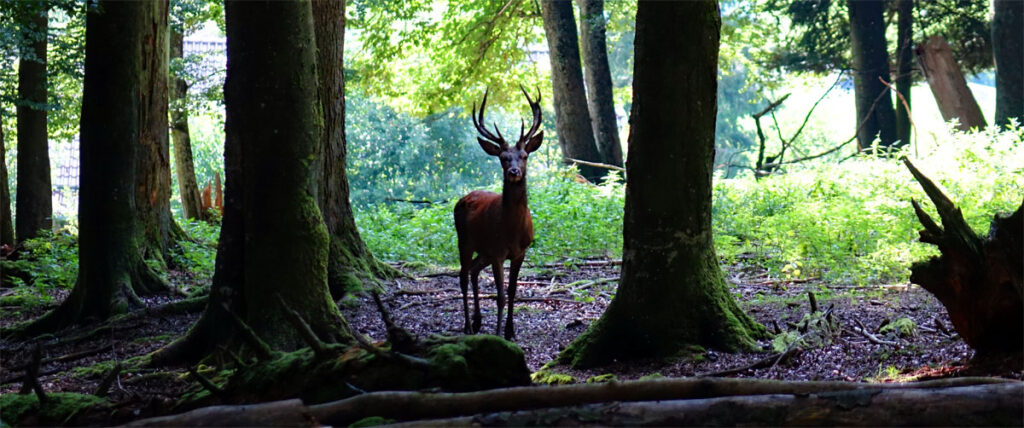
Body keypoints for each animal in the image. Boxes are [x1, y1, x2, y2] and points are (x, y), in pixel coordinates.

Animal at [454, 87, 543, 340]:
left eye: (524, 156)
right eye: (503, 158)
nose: (513, 171)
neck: (511, 231)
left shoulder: (520, 252)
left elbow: (512, 291)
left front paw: (510, 331)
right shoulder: (498, 252)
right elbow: (500, 295)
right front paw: (498, 333)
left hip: (483, 250)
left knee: (473, 271)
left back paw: (477, 321)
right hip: (465, 241)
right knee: (463, 276)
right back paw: (467, 325)